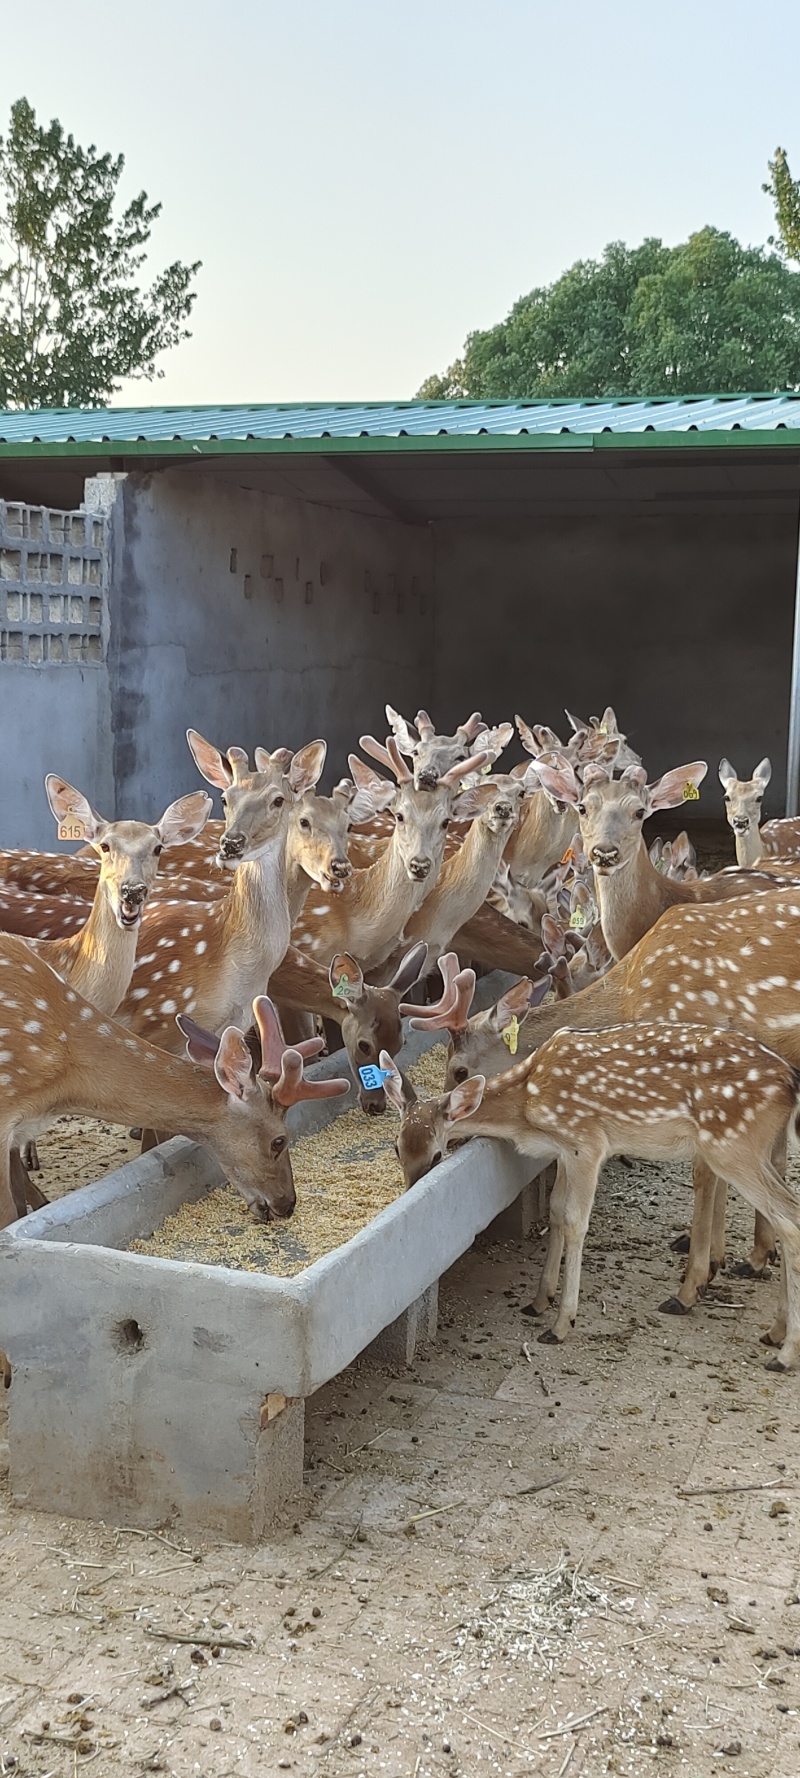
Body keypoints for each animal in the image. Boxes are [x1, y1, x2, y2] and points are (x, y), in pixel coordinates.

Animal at [378, 1021, 800, 1370]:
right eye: (397, 1148)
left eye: (436, 1155)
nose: (412, 1191)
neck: (528, 1108)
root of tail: (790, 1083)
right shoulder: (564, 1151)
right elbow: (556, 1212)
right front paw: (539, 1300)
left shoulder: (587, 1141)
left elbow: (577, 1222)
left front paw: (561, 1323)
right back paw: (774, 1332)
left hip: (731, 1145)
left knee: (789, 1217)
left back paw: (783, 1353)